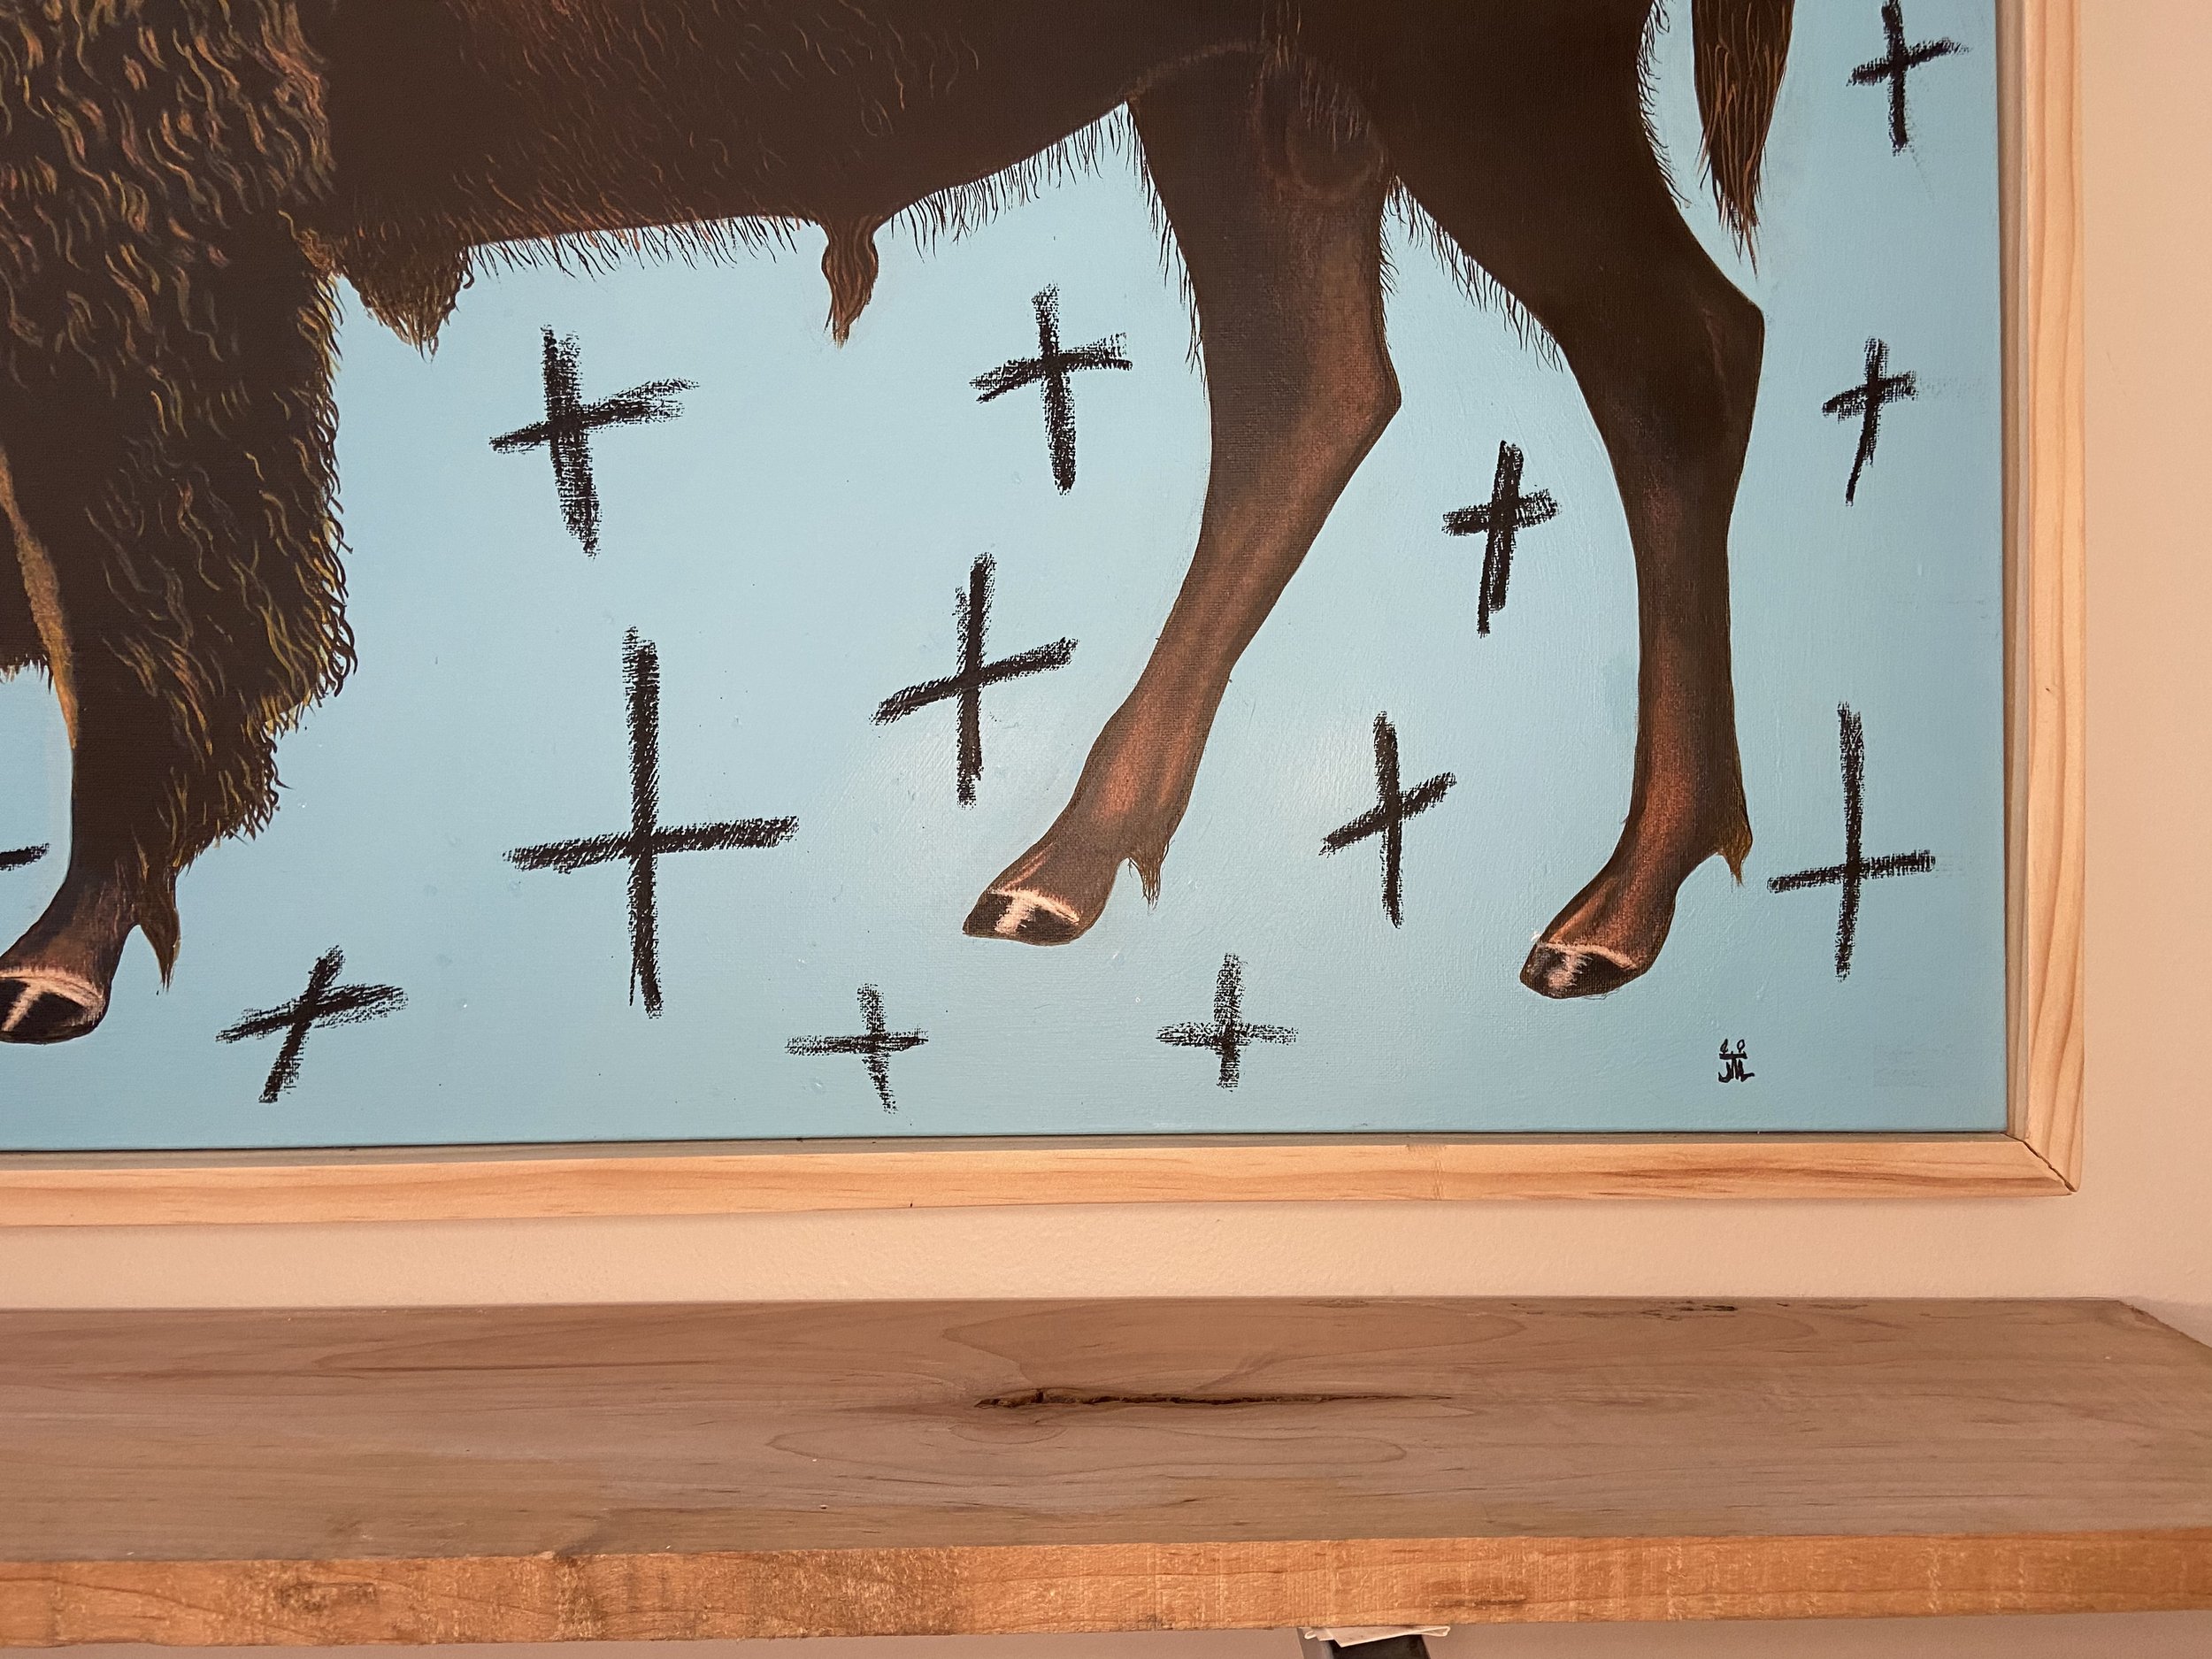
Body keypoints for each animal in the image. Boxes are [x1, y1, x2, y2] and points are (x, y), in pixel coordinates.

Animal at [0, 0, 1792, 1043]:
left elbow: (119, 599)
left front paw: (57, 960)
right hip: (1243, 99)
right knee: (1312, 390)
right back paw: (1058, 871)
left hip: (1482, 98)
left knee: (1679, 359)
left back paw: (1611, 917)